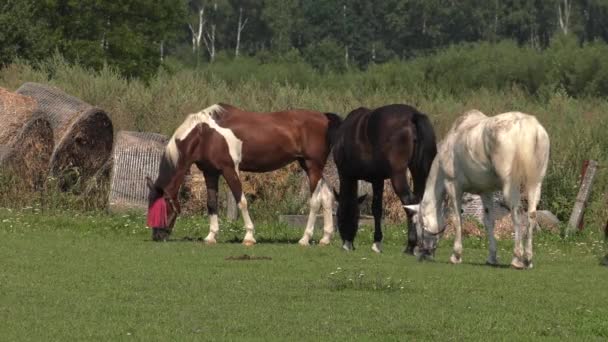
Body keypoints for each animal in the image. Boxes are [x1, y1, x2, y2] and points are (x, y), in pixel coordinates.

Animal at [145, 103, 340, 244]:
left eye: (162, 209)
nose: (157, 236)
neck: (204, 135)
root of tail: (324, 117)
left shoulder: (229, 169)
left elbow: (241, 201)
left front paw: (249, 236)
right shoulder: (210, 172)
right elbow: (211, 203)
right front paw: (211, 236)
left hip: (313, 167)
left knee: (315, 201)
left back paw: (305, 239)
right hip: (311, 167)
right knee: (326, 197)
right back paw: (325, 239)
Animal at [332, 103, 436, 252]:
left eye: (339, 217)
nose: (348, 243)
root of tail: (413, 116)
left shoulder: (346, 174)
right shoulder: (377, 179)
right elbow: (377, 209)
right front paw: (377, 242)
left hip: (398, 174)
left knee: (409, 201)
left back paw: (410, 245)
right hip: (420, 173)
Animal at [404, 111, 552, 268]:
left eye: (418, 223)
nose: (421, 253)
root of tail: (527, 125)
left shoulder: (453, 186)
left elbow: (457, 219)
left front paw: (456, 255)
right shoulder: (486, 192)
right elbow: (488, 222)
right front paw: (492, 257)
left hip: (511, 185)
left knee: (517, 214)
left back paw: (517, 259)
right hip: (535, 184)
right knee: (531, 215)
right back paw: (528, 260)